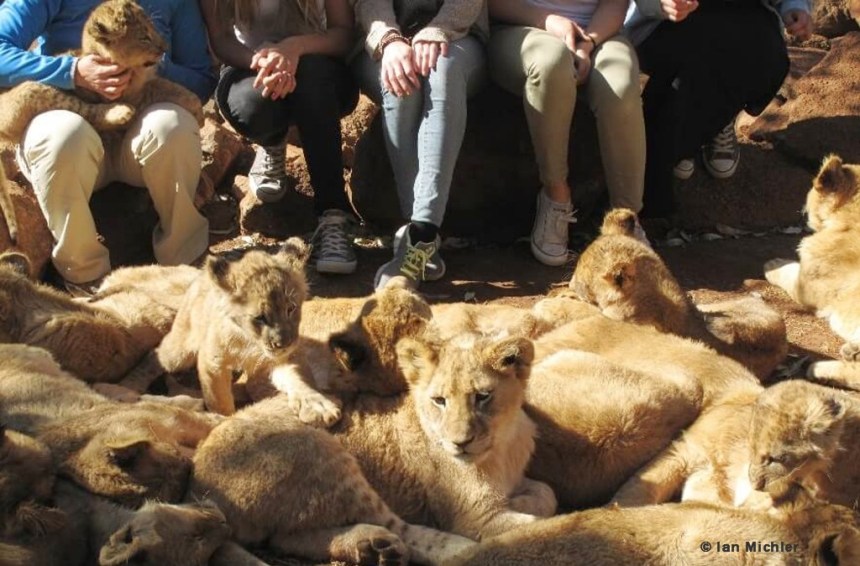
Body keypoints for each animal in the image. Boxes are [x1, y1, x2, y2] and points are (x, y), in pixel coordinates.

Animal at [0, 0, 203, 147]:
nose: (164, 48)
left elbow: (172, 87)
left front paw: (198, 113)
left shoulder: (142, 88)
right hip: (32, 88)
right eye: (144, 37)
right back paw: (120, 113)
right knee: (88, 112)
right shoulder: (130, 95)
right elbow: (165, 87)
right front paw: (200, 115)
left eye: (154, 29)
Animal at [765, 155, 860, 385]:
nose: (801, 209)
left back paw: (818, 369)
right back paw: (852, 351)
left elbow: (788, 271)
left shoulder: (806, 288)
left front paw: (773, 264)